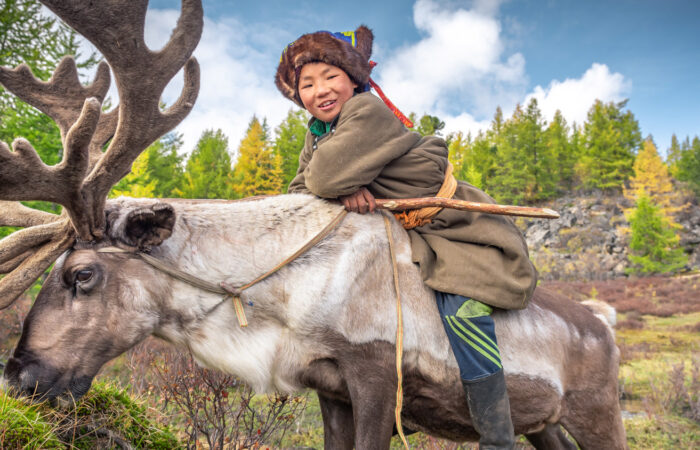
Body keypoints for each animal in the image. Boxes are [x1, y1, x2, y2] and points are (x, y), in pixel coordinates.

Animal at [0, 1, 628, 449]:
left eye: (82, 275)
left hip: (598, 414)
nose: (20, 380)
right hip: (545, 425)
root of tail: (604, 320)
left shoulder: (376, 377)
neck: (282, 297)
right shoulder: (330, 389)